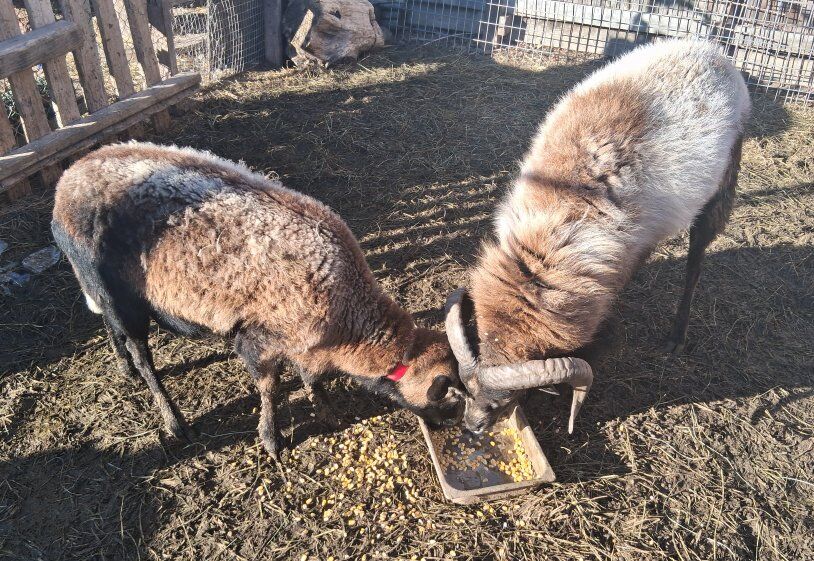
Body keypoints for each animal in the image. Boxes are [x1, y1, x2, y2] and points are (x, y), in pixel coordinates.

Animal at [51, 142, 463, 459]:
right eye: (453, 401)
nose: (460, 431)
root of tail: (66, 183)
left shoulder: (303, 340)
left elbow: (311, 375)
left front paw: (326, 410)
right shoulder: (259, 339)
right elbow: (270, 387)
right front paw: (271, 440)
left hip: (103, 290)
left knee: (109, 323)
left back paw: (125, 369)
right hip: (121, 295)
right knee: (142, 354)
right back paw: (173, 420)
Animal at [443, 39, 751, 434]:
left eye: (505, 400)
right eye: (467, 385)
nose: (471, 426)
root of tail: (707, 46)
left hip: (722, 183)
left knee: (697, 258)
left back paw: (676, 337)